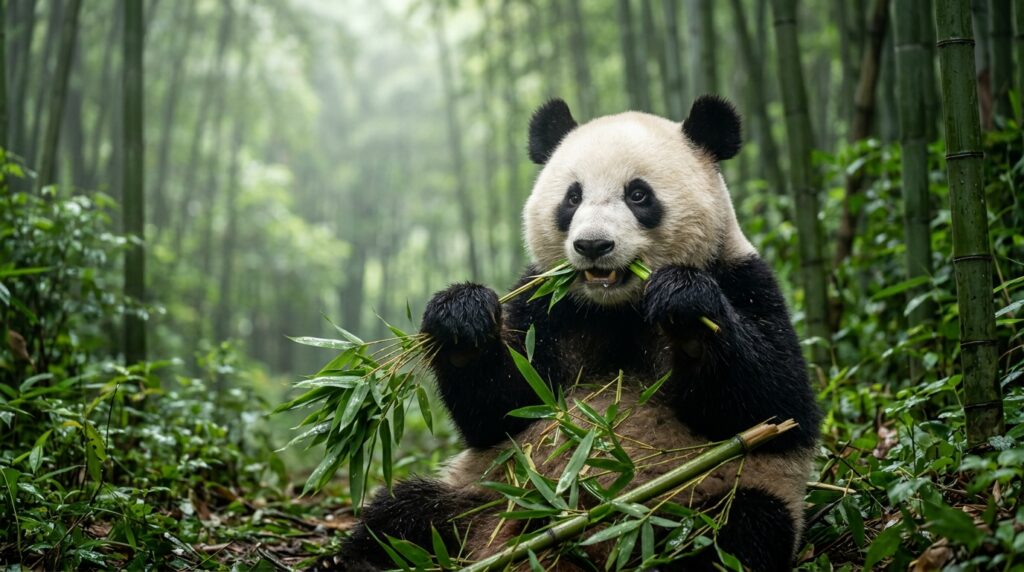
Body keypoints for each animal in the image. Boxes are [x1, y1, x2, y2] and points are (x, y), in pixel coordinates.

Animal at [327, 96, 821, 571]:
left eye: (638, 194)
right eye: (572, 197)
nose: (593, 245)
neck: (617, 308)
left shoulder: (745, 280)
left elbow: (773, 399)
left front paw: (685, 308)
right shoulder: (547, 305)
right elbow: (499, 409)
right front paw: (462, 318)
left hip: (712, 494)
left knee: (734, 532)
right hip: (481, 492)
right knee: (401, 516)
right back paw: (365, 559)